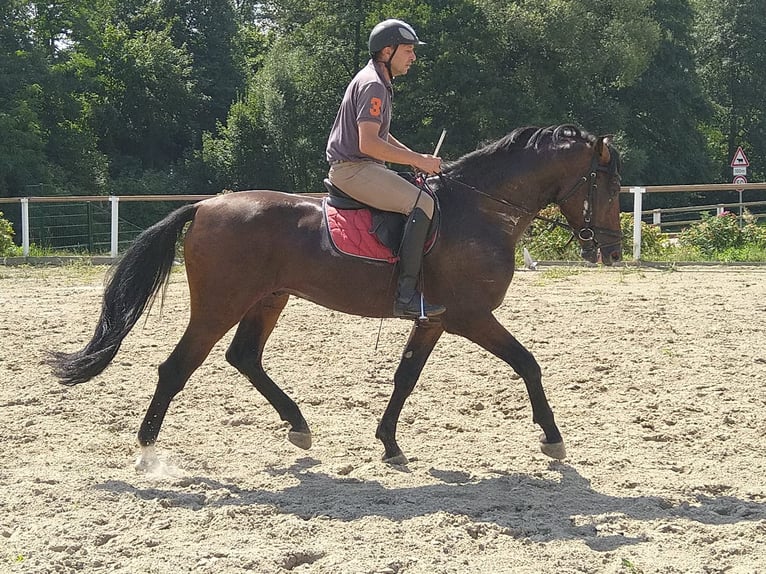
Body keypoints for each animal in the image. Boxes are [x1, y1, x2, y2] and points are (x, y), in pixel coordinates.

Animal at [48, 125, 624, 468]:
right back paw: (148, 453)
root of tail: (206, 205)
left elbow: (406, 376)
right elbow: (528, 363)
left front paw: (389, 443)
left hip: (268, 299)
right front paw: (552, 437)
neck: (480, 211)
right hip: (220, 305)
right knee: (176, 368)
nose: (613, 252)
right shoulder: (470, 316)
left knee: (243, 357)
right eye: (611, 185)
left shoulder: (434, 319)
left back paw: (299, 427)